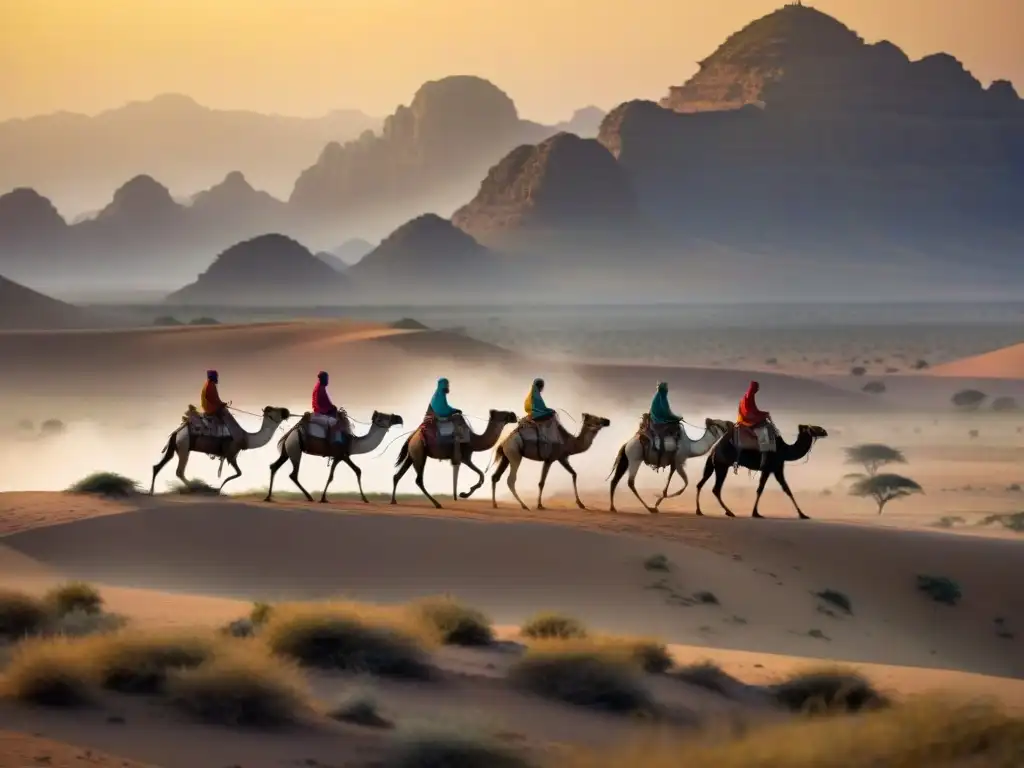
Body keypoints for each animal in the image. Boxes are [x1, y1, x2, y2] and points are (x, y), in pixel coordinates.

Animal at [149, 405, 292, 495]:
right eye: (276, 410)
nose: (286, 410)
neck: (246, 438)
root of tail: (176, 432)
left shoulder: (231, 456)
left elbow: (238, 473)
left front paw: (217, 488)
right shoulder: (231, 454)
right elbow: (239, 473)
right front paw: (218, 489)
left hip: (176, 446)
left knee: (158, 466)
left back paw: (151, 491)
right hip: (184, 445)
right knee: (179, 471)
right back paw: (197, 489)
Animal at [264, 411, 403, 507]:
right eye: (383, 417)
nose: (399, 418)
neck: (352, 442)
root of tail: (289, 435)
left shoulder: (341, 456)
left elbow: (356, 471)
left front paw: (364, 498)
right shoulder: (341, 455)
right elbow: (335, 475)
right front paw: (323, 498)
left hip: (287, 451)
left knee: (274, 466)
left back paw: (268, 497)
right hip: (295, 448)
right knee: (293, 474)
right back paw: (309, 497)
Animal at [602, 417, 733, 514]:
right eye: (719, 423)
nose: (730, 423)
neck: (691, 447)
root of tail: (626, 444)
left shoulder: (674, 464)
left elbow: (667, 485)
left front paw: (657, 502)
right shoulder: (679, 461)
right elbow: (685, 484)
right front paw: (655, 501)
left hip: (626, 460)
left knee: (615, 480)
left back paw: (613, 507)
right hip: (635, 458)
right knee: (630, 482)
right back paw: (649, 508)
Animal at [692, 423, 827, 520]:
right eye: (812, 427)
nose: (824, 431)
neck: (784, 451)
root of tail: (714, 449)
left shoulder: (773, 469)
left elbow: (784, 489)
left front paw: (802, 514)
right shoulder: (772, 468)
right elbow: (765, 489)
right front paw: (756, 513)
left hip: (713, 465)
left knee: (701, 484)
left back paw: (700, 511)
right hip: (722, 466)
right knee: (716, 488)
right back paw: (729, 512)